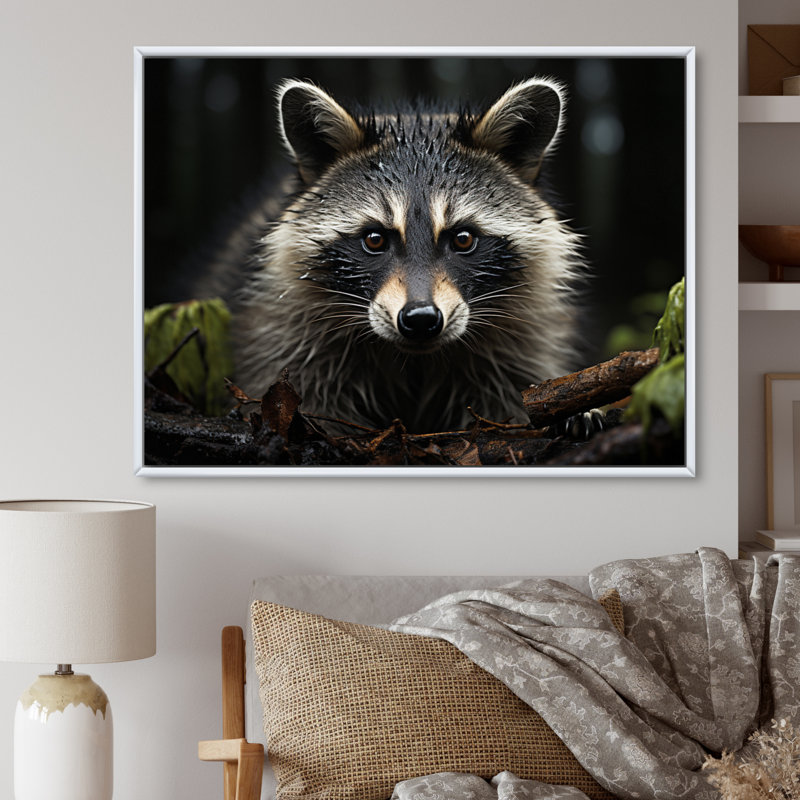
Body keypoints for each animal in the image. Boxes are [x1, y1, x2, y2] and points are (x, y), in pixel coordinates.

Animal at [197, 76, 586, 433]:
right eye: (374, 240)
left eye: (463, 239)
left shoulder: (523, 337)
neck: (414, 359)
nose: (421, 319)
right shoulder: (283, 332)